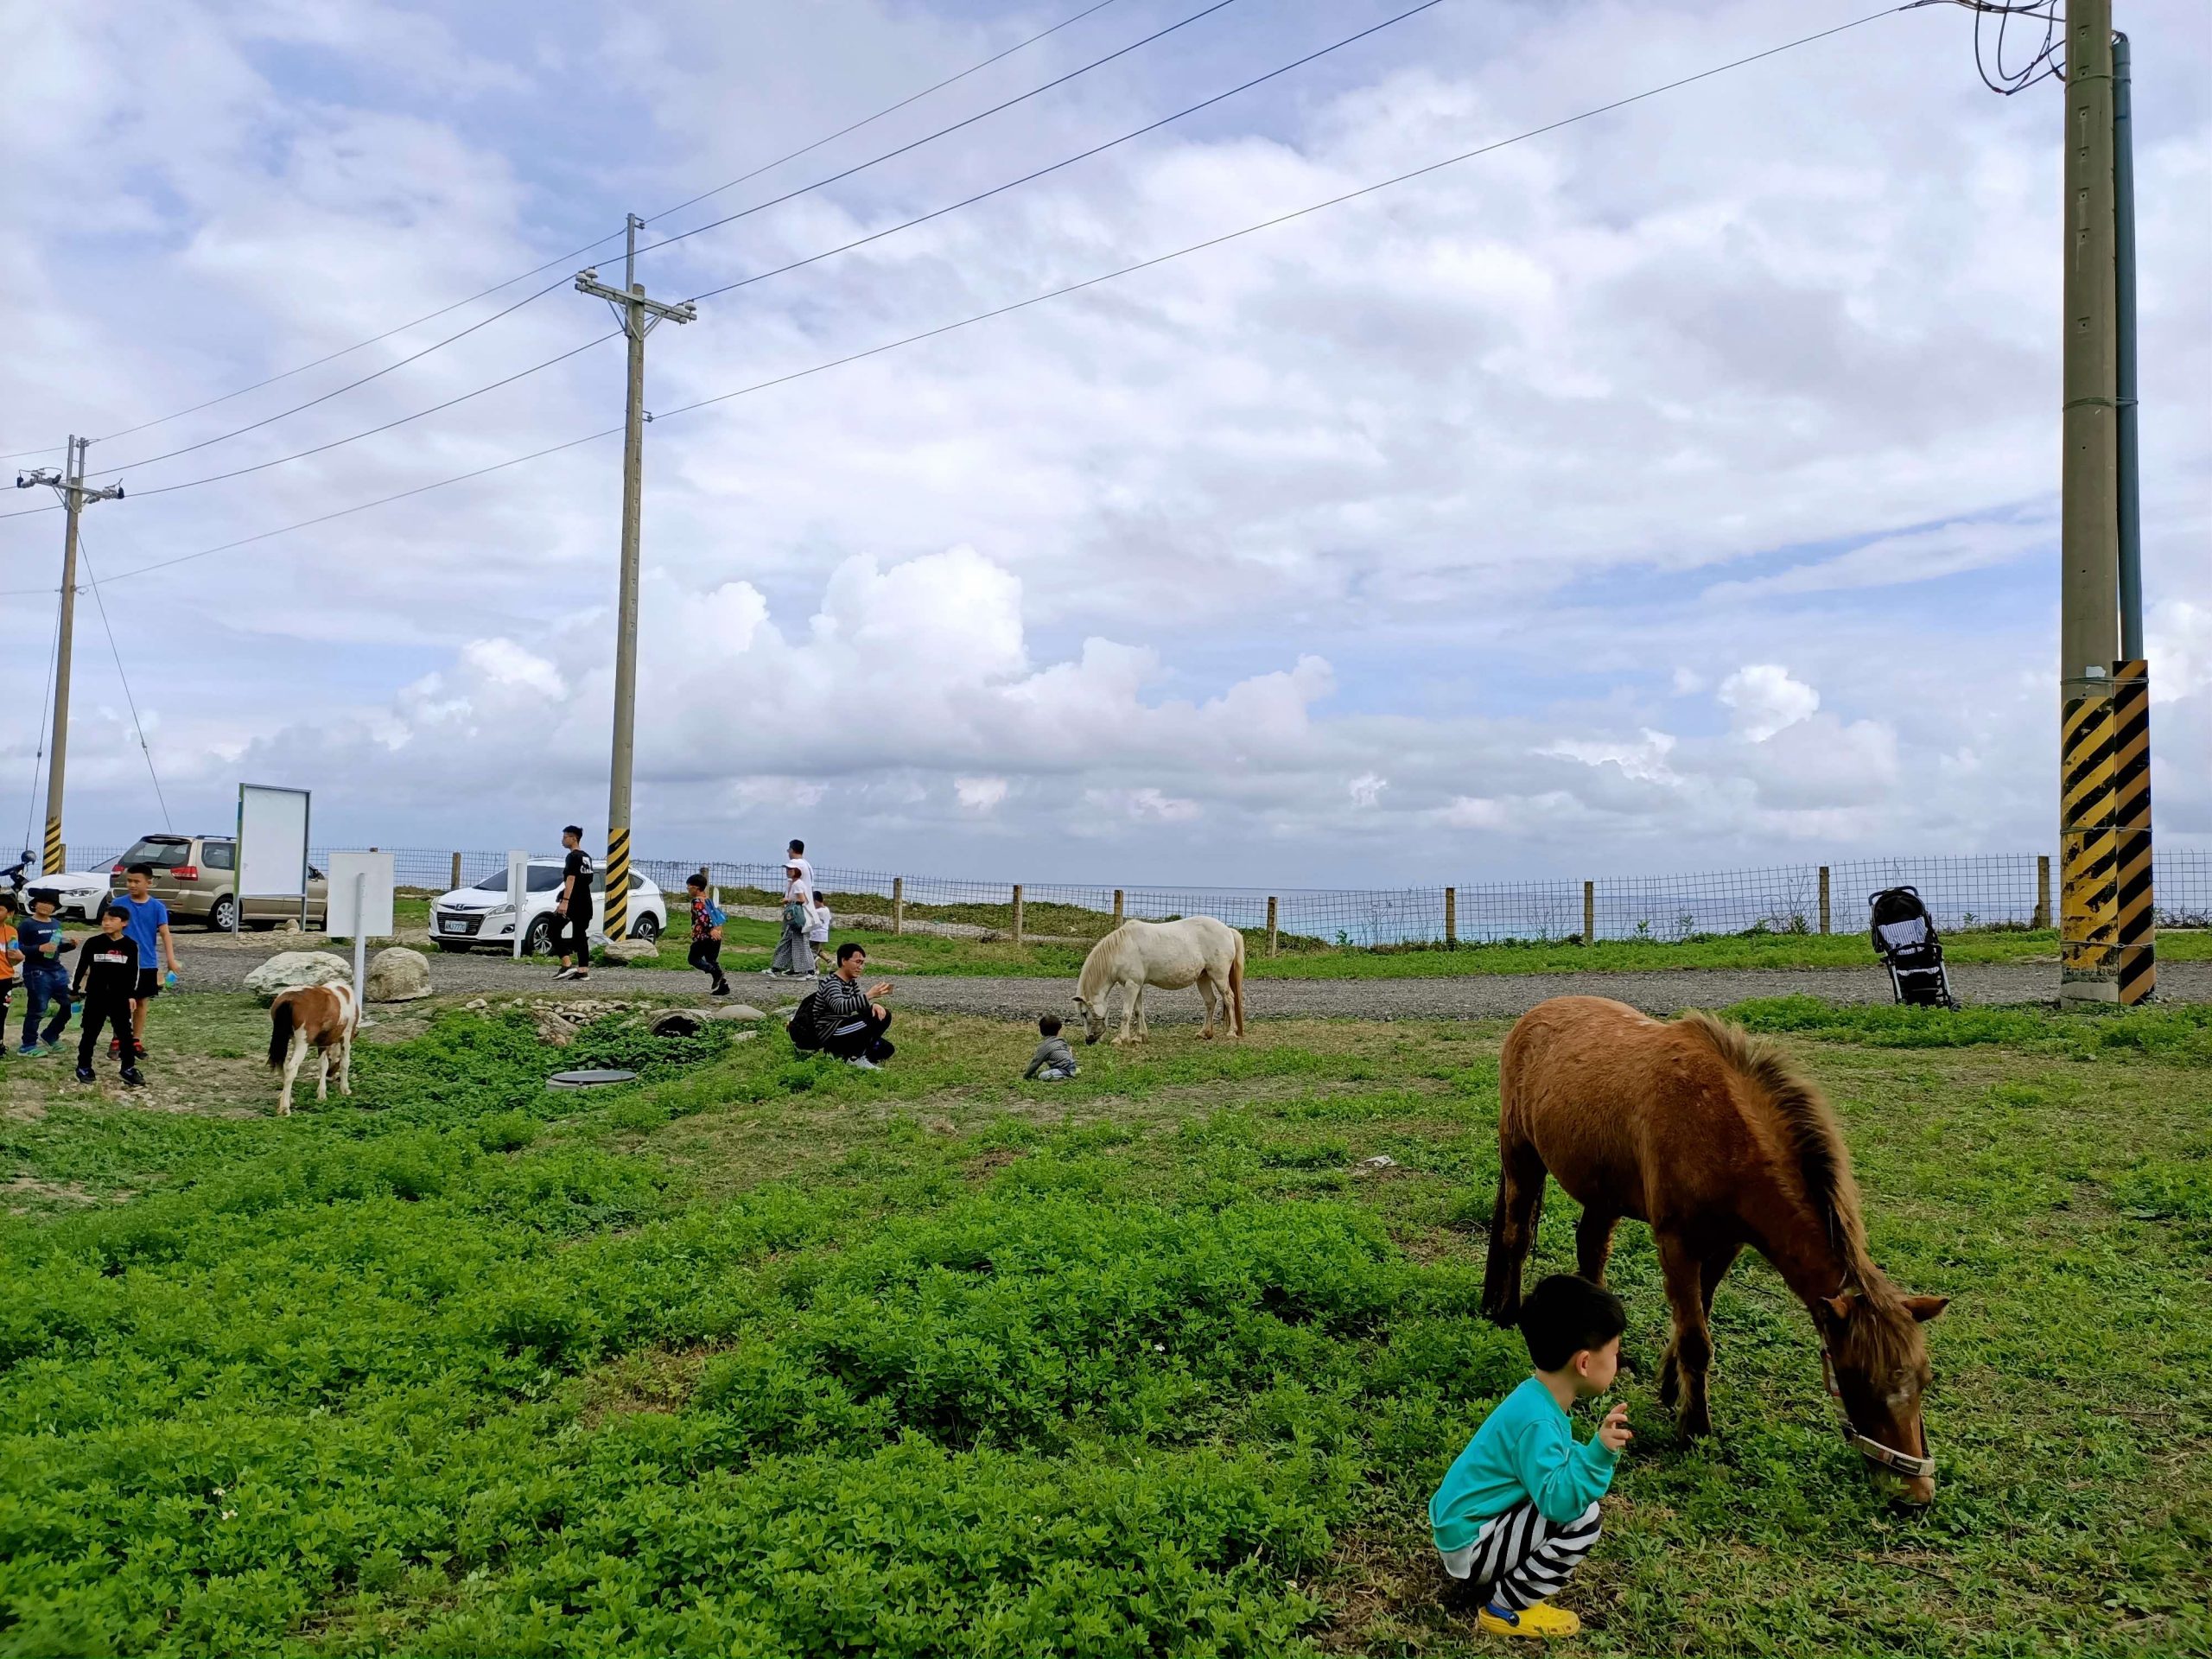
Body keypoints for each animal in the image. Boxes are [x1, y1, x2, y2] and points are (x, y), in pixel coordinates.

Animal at [267, 986, 358, 1119]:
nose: (331, 1074)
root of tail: (289, 999)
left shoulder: (322, 1044)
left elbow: (323, 1065)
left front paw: (322, 1094)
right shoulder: (346, 1036)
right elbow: (345, 1062)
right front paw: (345, 1089)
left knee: (282, 1065)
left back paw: (287, 1098)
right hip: (302, 1043)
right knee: (291, 1068)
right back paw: (285, 1108)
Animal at [1071, 915, 1247, 1044]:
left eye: (1084, 1013)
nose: (1089, 1040)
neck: (1121, 948)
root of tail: (1228, 930)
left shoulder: (1131, 985)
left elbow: (1126, 1013)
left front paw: (1120, 1039)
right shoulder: (1137, 985)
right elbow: (1138, 1011)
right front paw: (1139, 1037)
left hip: (1219, 976)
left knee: (1229, 998)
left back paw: (1232, 1032)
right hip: (1203, 978)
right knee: (1210, 1001)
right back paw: (1205, 1033)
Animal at [1478, 1000, 1946, 1503]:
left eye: (1925, 1379)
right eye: (1859, 1379)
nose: (1915, 1493)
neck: (1722, 1131)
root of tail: (1533, 1016)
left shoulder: (1725, 1247)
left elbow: (1695, 1317)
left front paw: (1670, 1389)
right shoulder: (1677, 1245)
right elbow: (1696, 1340)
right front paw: (1694, 1429)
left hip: (1602, 1192)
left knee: (1591, 1250)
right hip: (1521, 1156)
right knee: (1515, 1236)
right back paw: (1506, 1312)